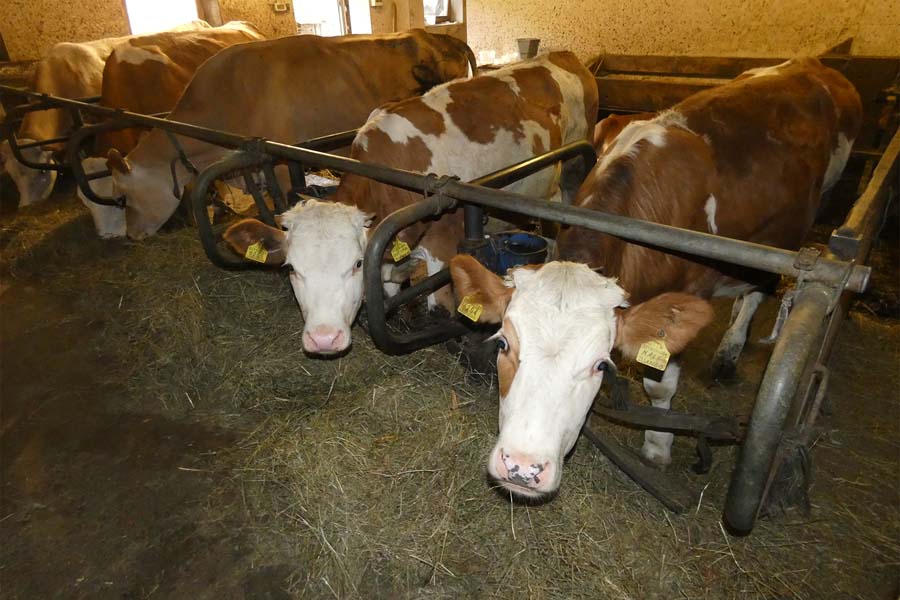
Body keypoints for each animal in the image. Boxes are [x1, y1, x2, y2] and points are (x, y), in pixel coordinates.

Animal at [222, 51, 599, 355]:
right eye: (291, 268)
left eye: (356, 264)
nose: (324, 338)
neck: (386, 177)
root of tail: (564, 55)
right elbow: (389, 291)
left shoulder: (442, 243)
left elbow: (440, 307)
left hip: (573, 170)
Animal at [448, 57, 862, 499]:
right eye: (503, 343)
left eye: (601, 365)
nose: (522, 467)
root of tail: (810, 63)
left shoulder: (688, 290)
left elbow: (661, 385)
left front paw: (658, 446)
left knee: (759, 290)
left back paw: (729, 353)